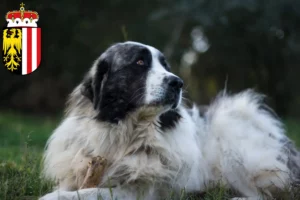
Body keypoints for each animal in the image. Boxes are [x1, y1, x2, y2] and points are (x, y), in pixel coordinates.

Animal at [40, 41, 300, 199]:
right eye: (140, 63)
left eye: (166, 66)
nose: (177, 82)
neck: (127, 132)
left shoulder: (137, 191)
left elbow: (92, 192)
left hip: (234, 138)